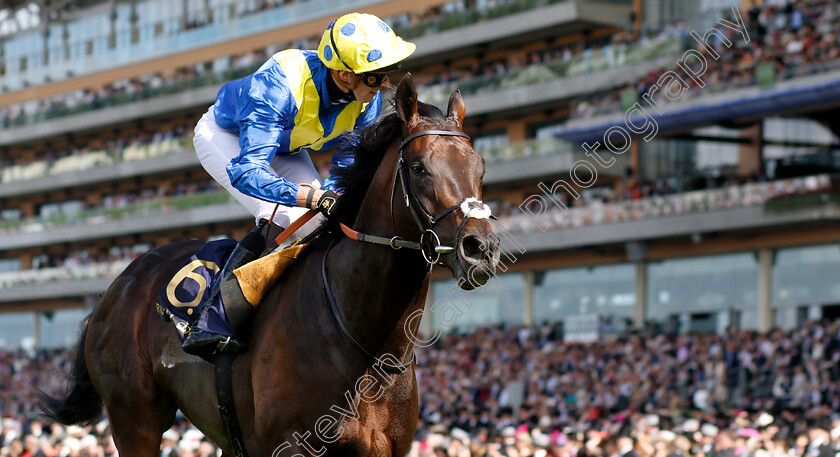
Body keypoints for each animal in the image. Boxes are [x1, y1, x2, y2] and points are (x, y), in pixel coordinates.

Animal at [42, 74, 498, 452]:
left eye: (480, 167)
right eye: (419, 168)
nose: (481, 247)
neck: (368, 343)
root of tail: (117, 286)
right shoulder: (292, 445)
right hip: (134, 418)